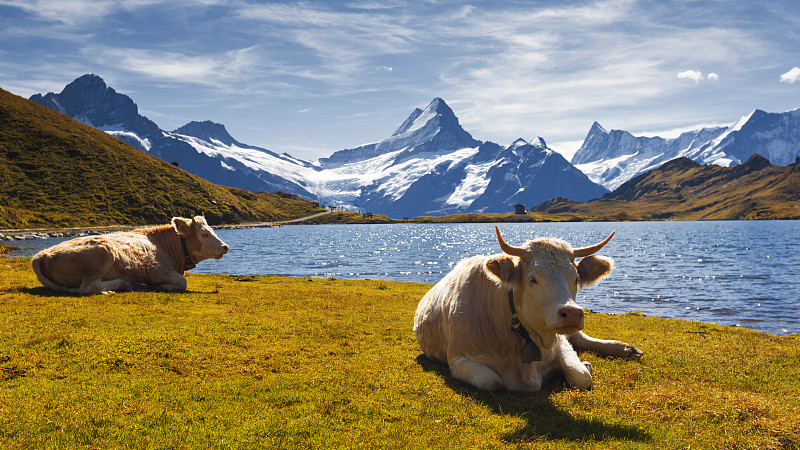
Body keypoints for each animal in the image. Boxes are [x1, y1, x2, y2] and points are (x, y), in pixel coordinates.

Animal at [31, 215, 228, 296]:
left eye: (212, 230)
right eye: (204, 234)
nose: (225, 247)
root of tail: (40, 255)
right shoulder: (160, 271)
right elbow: (183, 282)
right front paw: (160, 287)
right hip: (104, 252)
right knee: (87, 288)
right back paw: (121, 285)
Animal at [416, 227, 640, 392]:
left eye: (576, 278)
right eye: (533, 279)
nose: (572, 313)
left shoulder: (560, 345)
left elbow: (582, 377)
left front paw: (586, 366)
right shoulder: (459, 359)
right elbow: (492, 382)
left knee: (580, 338)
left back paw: (626, 349)